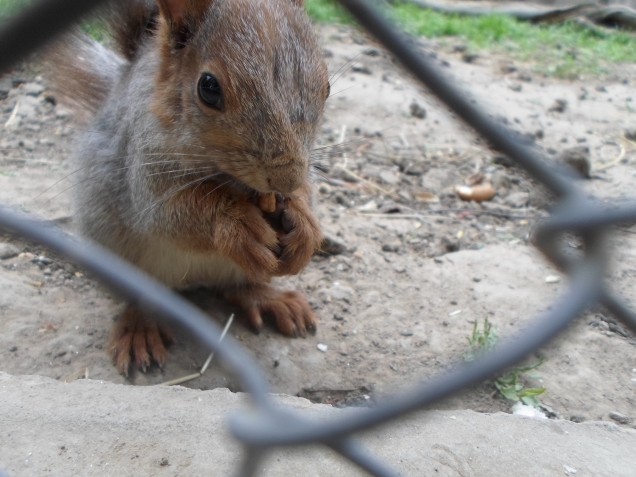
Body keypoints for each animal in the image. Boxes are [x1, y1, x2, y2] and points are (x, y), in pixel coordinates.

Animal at [46, 0, 328, 376]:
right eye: (208, 87)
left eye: (326, 86)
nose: (286, 178)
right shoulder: (143, 165)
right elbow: (171, 215)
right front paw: (237, 224)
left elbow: (305, 195)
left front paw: (303, 223)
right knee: (141, 298)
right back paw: (140, 328)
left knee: (236, 287)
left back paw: (271, 299)